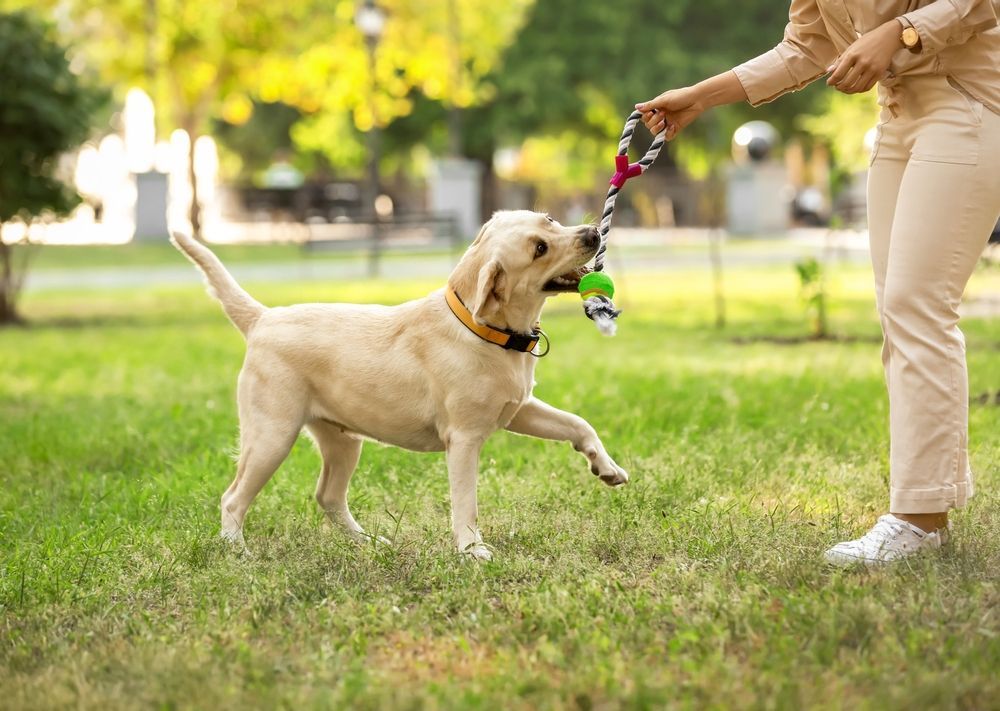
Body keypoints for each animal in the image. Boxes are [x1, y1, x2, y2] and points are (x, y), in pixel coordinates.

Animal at [171, 209, 624, 560]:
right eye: (539, 249)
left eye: (549, 220)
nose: (592, 233)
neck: (483, 328)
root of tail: (263, 318)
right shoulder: (464, 438)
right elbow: (466, 501)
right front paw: (471, 549)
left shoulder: (519, 409)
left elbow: (578, 423)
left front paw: (606, 467)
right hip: (272, 435)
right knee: (233, 497)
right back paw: (237, 550)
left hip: (342, 441)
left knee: (328, 496)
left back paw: (369, 543)